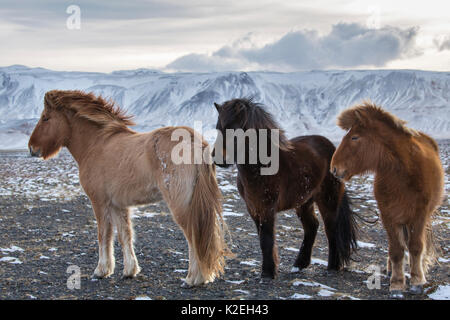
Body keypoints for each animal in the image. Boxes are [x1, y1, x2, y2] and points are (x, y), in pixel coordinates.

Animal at [28, 89, 229, 284]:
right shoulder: (118, 205)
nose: (31, 148)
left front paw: (101, 270)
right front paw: (129, 271)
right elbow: (125, 235)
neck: (96, 145)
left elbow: (104, 235)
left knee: (193, 236)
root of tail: (195, 141)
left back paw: (193, 278)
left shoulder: (100, 203)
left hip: (181, 206)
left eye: (45, 118)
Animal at [212, 98, 358, 280]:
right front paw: (270, 269)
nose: (218, 159)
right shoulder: (253, 208)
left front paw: (268, 272)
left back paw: (333, 266)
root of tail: (331, 147)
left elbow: (267, 239)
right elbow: (262, 238)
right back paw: (300, 264)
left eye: (236, 130)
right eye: (218, 128)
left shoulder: (267, 207)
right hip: (304, 202)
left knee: (331, 229)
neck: (260, 167)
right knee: (312, 226)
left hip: (328, 199)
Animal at [328, 102, 444, 298]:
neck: (404, 172)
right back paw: (391, 270)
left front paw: (417, 281)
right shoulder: (389, 215)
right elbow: (396, 250)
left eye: (354, 137)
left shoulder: (419, 216)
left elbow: (416, 247)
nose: (334, 168)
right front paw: (397, 284)